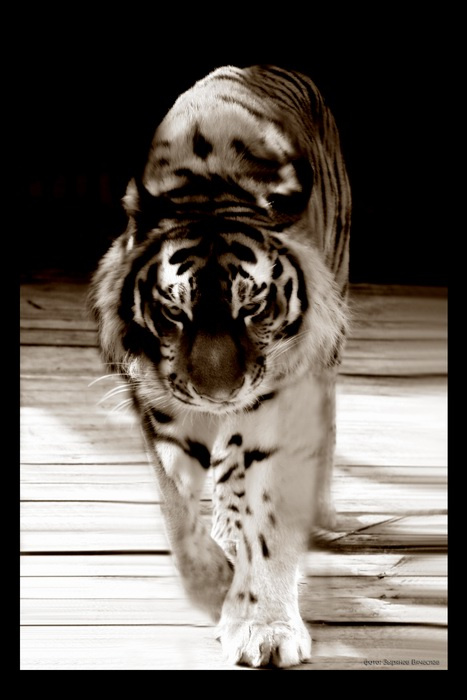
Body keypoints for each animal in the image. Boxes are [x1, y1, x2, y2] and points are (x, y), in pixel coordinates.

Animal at [91, 64, 351, 668]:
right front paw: (212, 587)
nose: (217, 395)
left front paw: (266, 625)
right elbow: (176, 510)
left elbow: (271, 514)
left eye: (251, 307)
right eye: (174, 309)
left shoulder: (281, 396)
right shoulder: (157, 399)